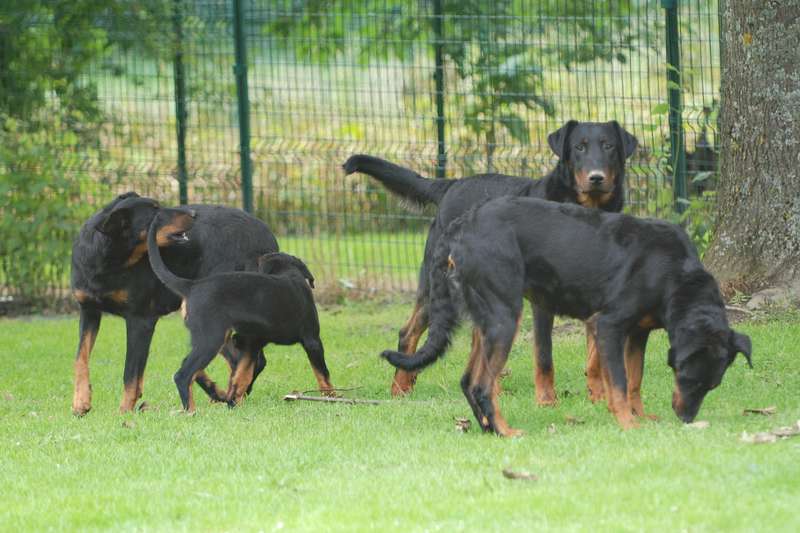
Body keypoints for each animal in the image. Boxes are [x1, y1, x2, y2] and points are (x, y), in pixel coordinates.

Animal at [69, 192, 282, 416]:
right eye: (155, 213)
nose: (194, 213)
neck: (107, 260)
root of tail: (267, 233)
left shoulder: (140, 320)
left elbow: (130, 373)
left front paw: (125, 411)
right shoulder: (89, 310)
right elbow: (80, 358)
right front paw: (81, 401)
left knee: (250, 359)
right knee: (235, 359)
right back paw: (220, 394)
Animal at [344, 119, 636, 404]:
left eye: (608, 146)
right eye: (579, 147)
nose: (596, 177)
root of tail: (450, 185)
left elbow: (596, 356)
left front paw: (599, 397)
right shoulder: (543, 302)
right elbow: (544, 356)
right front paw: (546, 401)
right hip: (438, 285)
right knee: (408, 332)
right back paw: (400, 389)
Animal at [384, 197, 752, 434]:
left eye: (713, 385)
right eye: (688, 378)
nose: (686, 419)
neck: (674, 275)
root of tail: (460, 226)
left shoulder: (638, 333)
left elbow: (635, 380)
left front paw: (641, 416)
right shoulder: (609, 325)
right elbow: (619, 383)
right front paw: (628, 424)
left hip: (486, 321)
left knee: (468, 381)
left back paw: (489, 430)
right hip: (505, 318)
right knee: (481, 384)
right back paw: (506, 432)